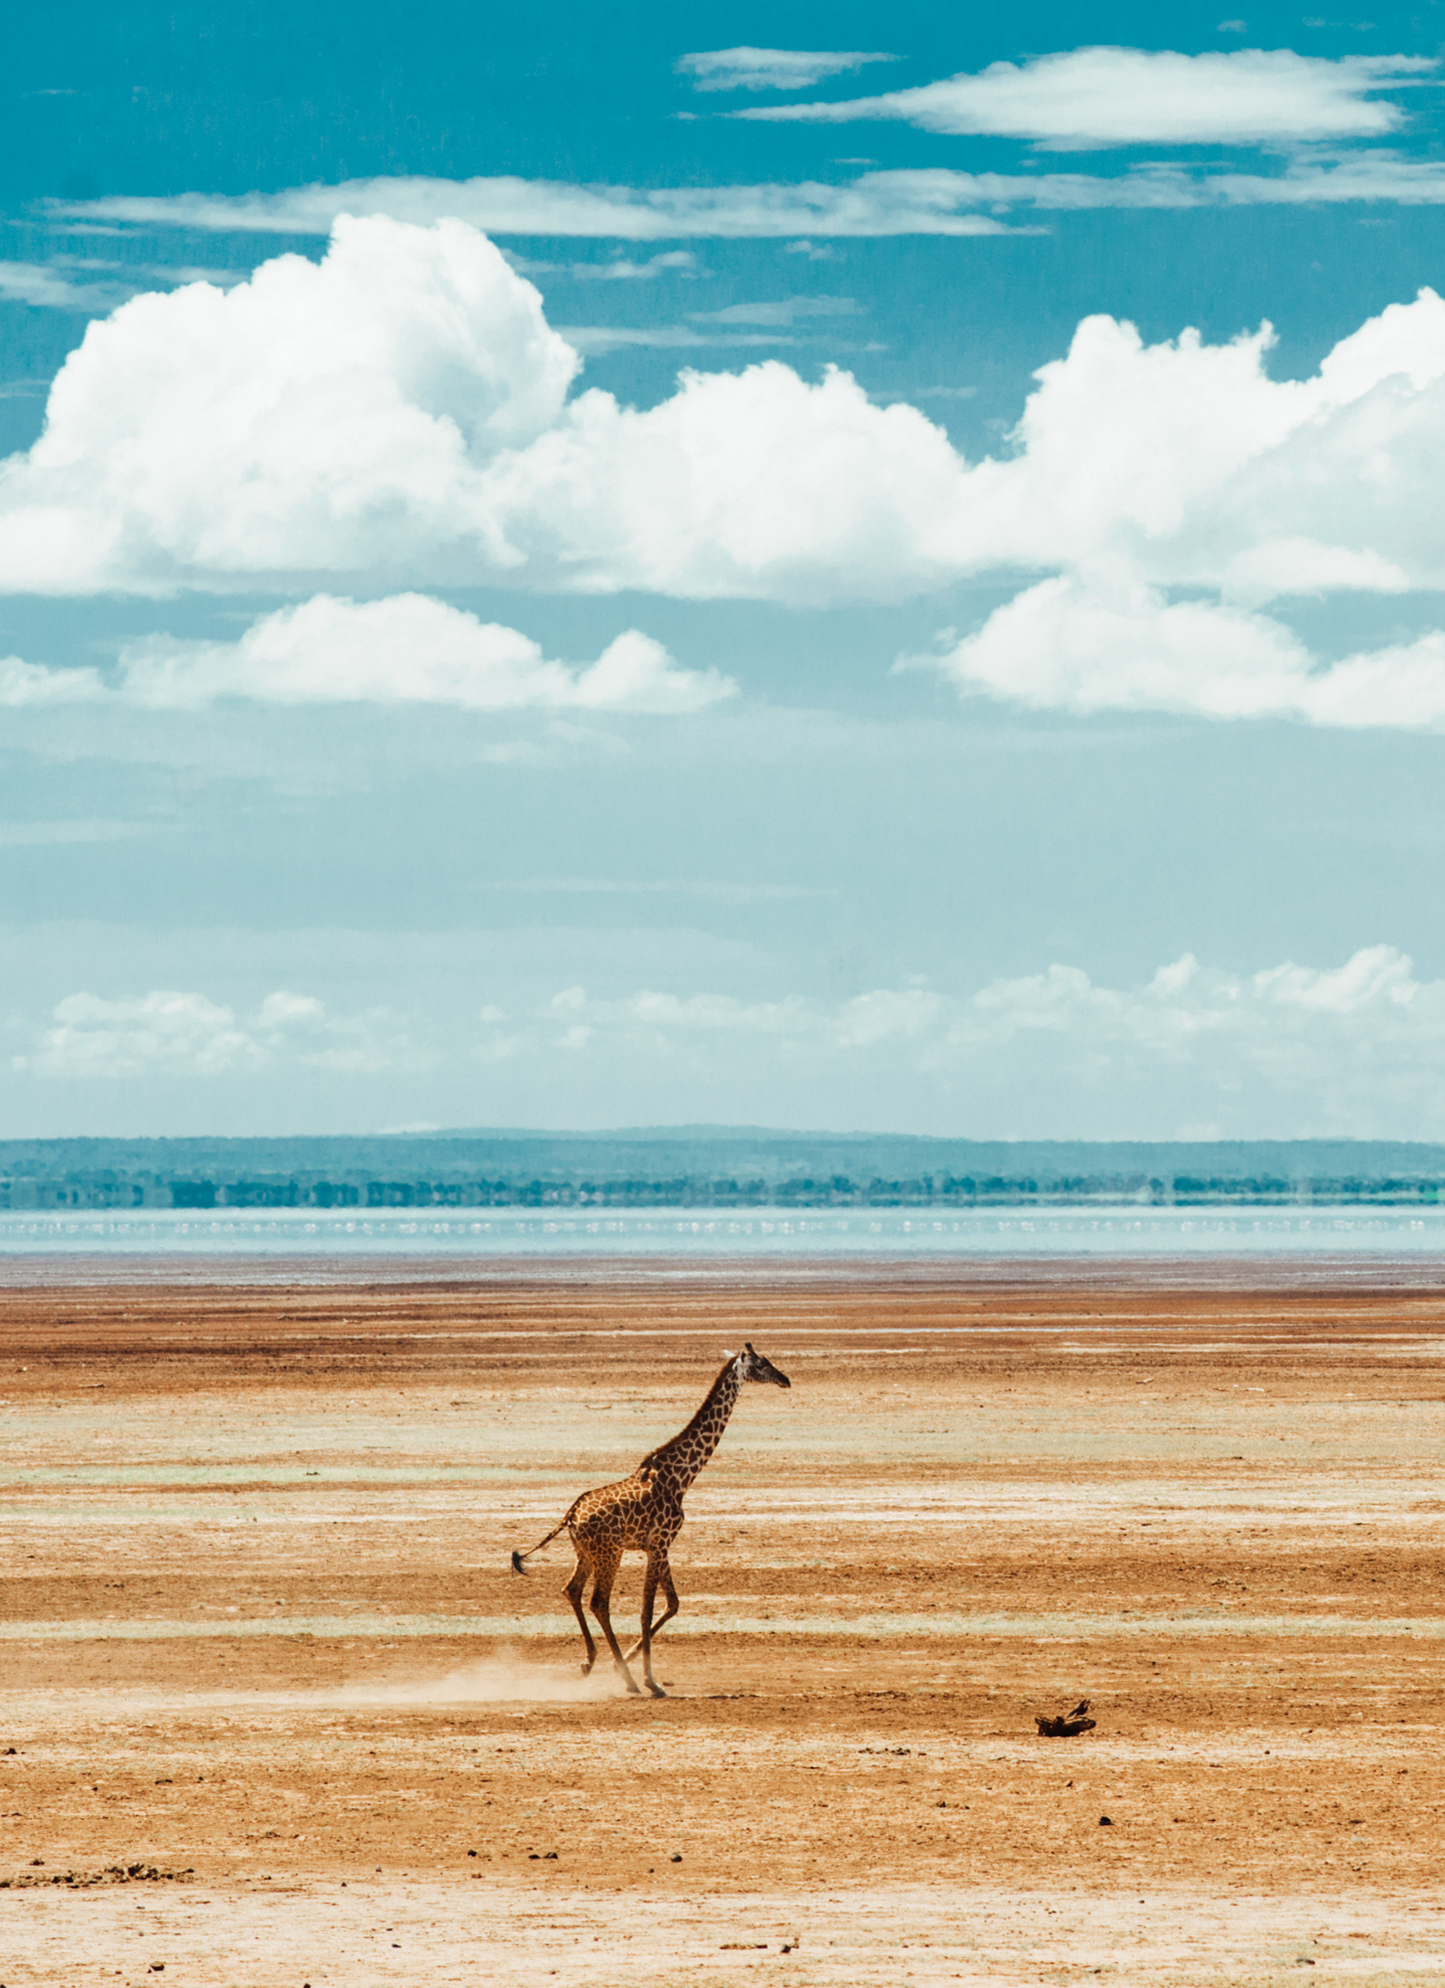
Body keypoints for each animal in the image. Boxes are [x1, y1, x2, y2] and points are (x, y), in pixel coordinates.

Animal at [509, 1342, 791, 1697]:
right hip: (609, 1554)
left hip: (585, 1554)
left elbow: (673, 1603)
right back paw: (628, 1679)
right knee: (598, 1602)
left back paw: (590, 1661)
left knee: (571, 1590)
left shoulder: (659, 1546)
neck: (682, 1476)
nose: (785, 1380)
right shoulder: (659, 1543)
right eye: (761, 1365)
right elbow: (647, 1611)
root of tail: (570, 1516)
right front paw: (649, 1679)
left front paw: (629, 1661)